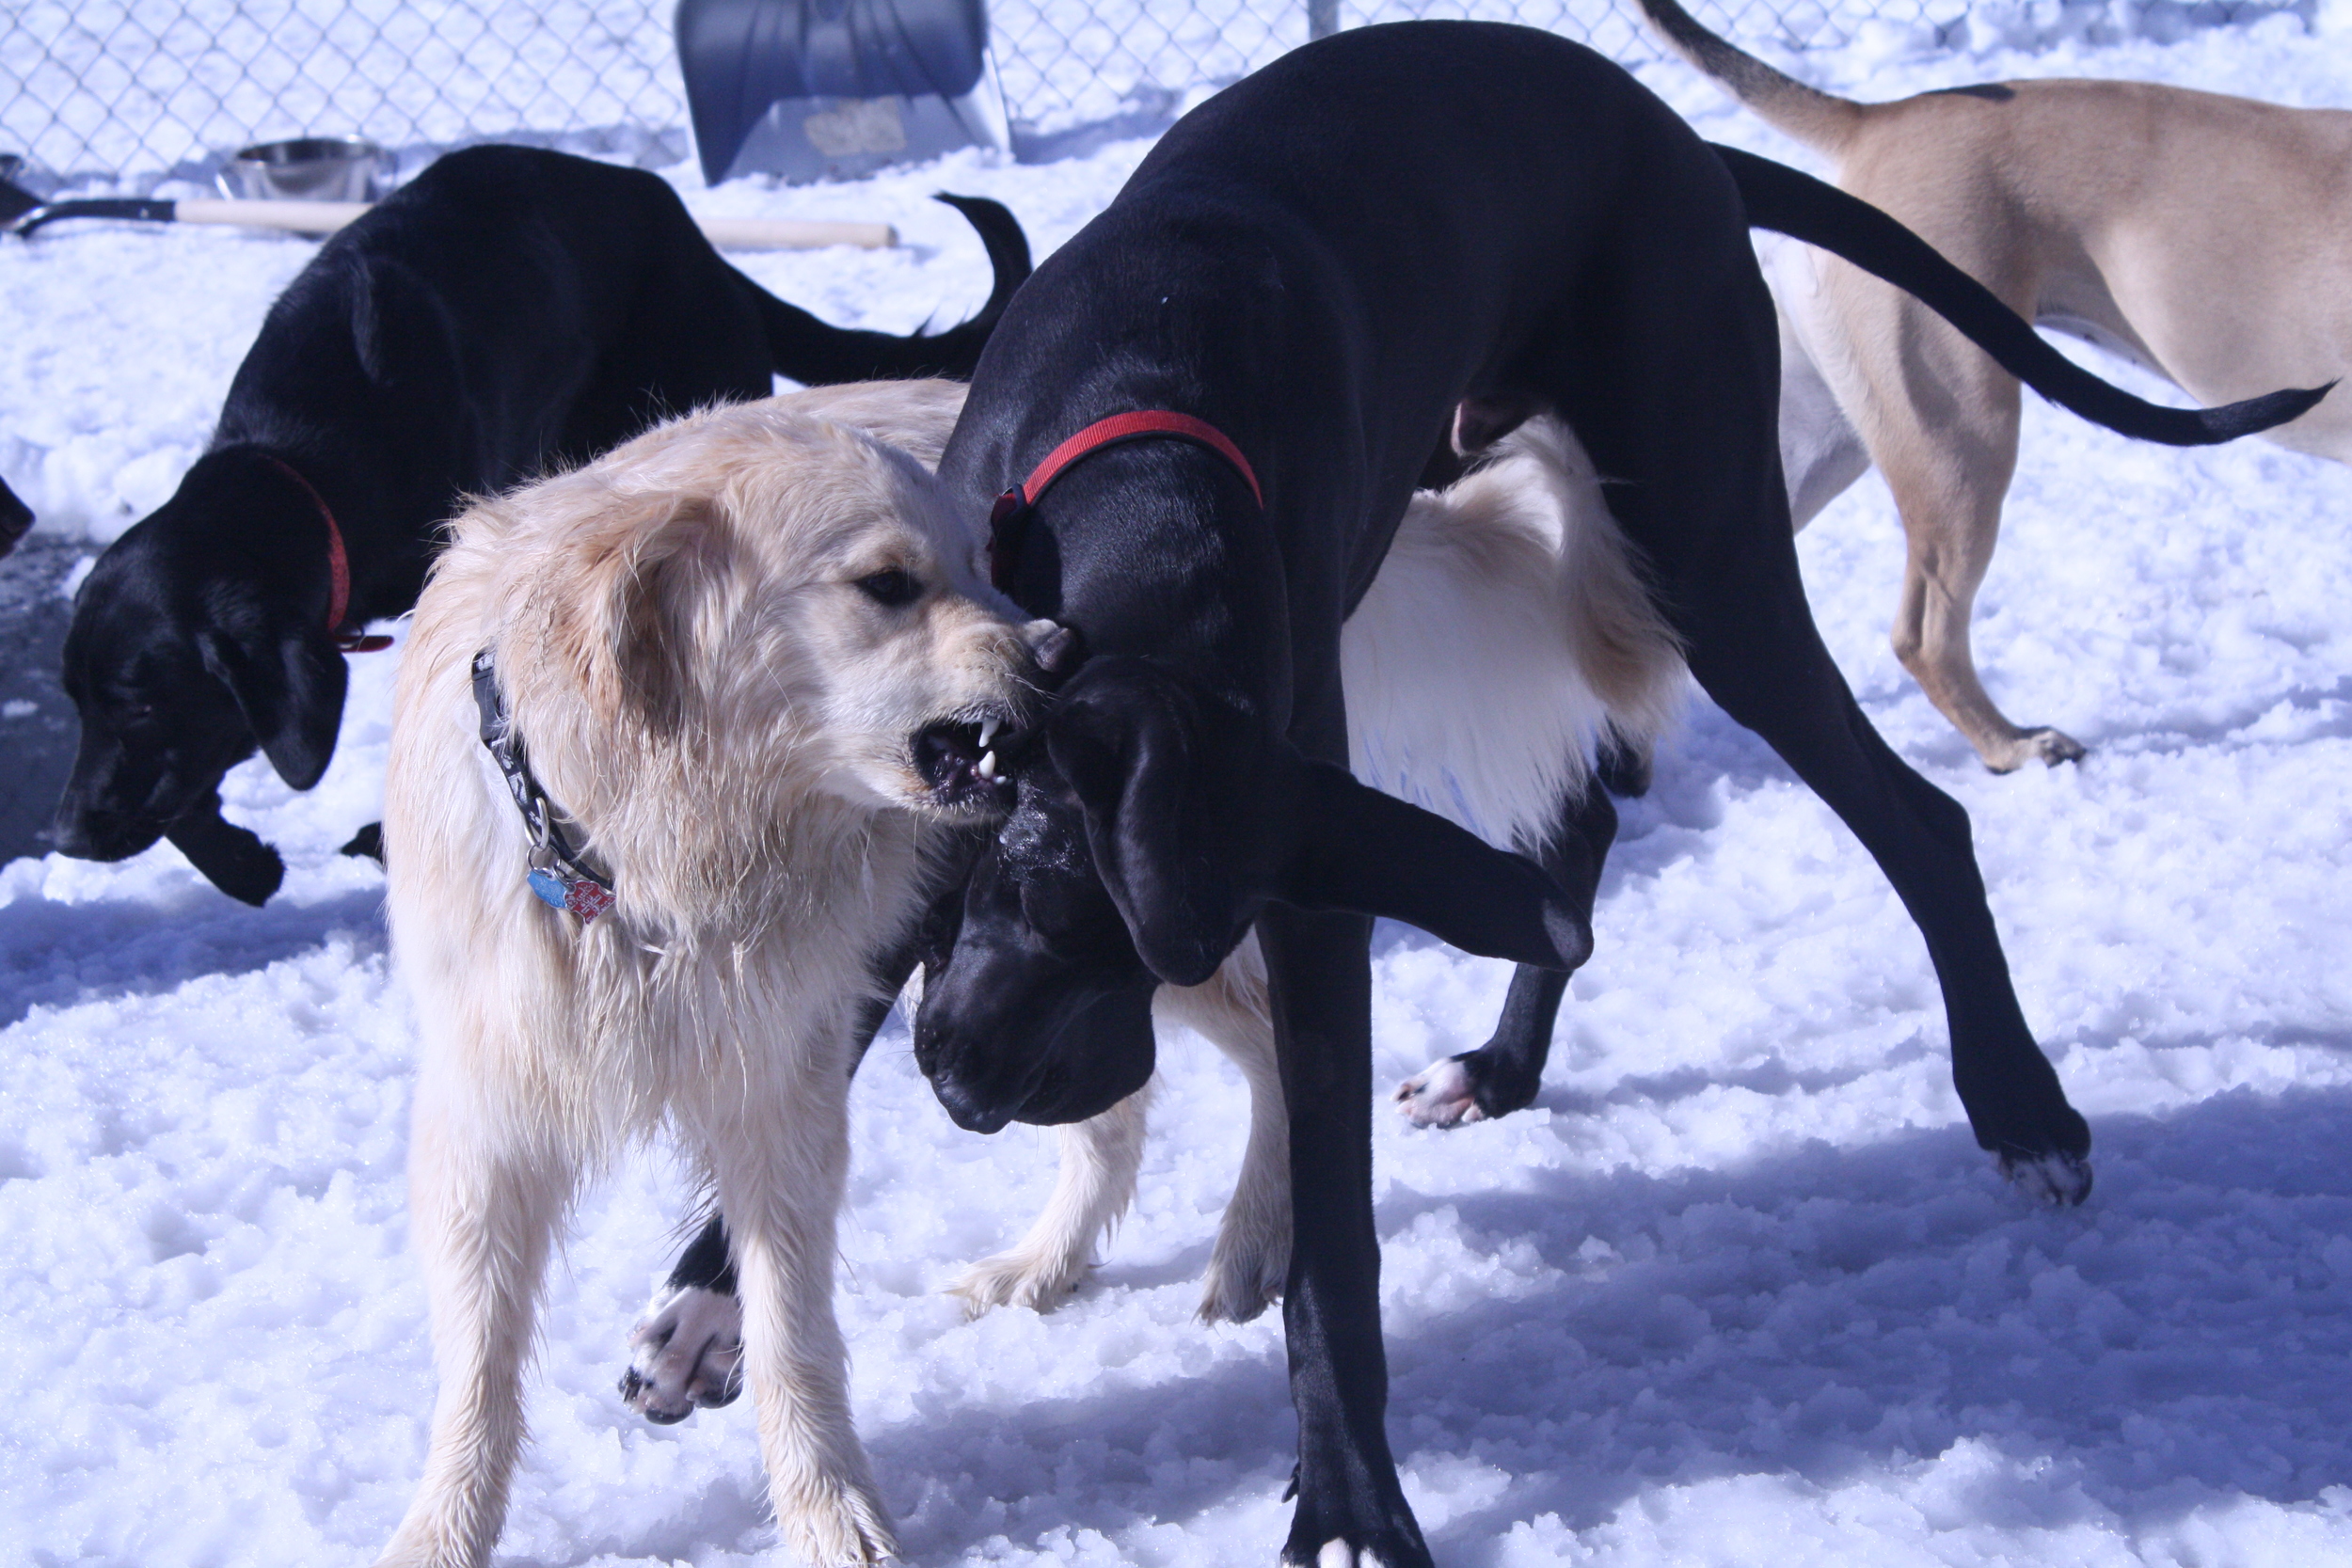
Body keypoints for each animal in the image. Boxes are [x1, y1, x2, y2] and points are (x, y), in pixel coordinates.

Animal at [53, 150, 1030, 907]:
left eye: (141, 703)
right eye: (79, 701)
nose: (64, 837)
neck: (301, 451)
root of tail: (682, 224)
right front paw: (237, 859)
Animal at [376, 383, 1068, 1568]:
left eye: (982, 562)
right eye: (889, 583)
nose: (1060, 650)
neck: (634, 861)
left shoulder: (779, 1097)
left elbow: (790, 1334)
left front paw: (832, 1514)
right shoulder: (488, 1113)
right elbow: (478, 1369)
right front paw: (443, 1530)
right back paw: (1045, 1267)